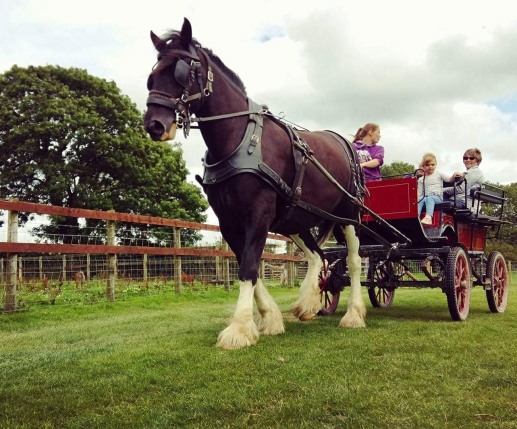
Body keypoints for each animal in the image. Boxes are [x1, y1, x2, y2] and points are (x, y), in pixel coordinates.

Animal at [143, 19, 364, 348]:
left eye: (182, 71)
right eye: (152, 75)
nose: (155, 125)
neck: (239, 139)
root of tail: (345, 142)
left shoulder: (258, 213)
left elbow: (248, 267)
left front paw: (239, 329)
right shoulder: (228, 220)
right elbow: (249, 267)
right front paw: (269, 318)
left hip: (348, 215)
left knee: (353, 259)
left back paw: (353, 314)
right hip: (296, 217)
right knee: (317, 256)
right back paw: (308, 303)